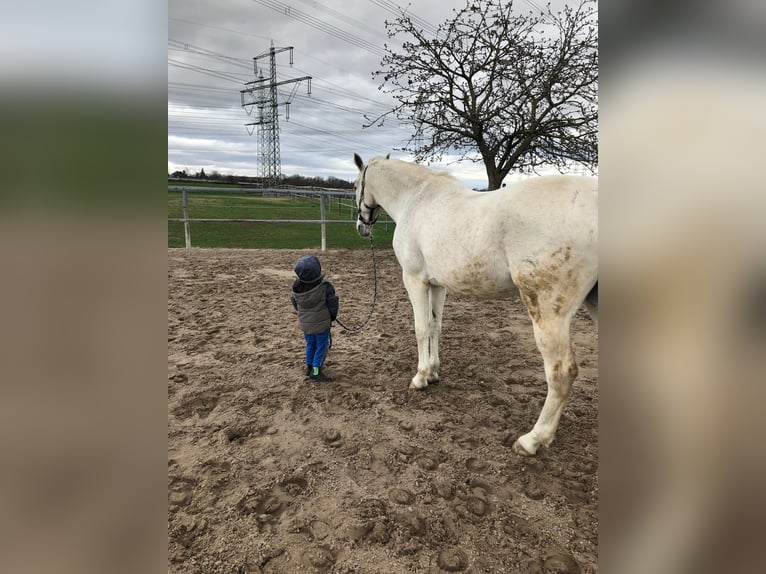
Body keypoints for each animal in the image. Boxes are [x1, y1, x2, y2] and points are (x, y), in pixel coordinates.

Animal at [354, 154, 600, 460]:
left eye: (356, 185)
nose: (361, 226)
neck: (416, 198)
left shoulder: (415, 280)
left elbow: (421, 328)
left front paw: (420, 377)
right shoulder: (438, 285)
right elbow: (435, 326)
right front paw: (433, 372)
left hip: (547, 312)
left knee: (561, 372)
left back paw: (532, 440)